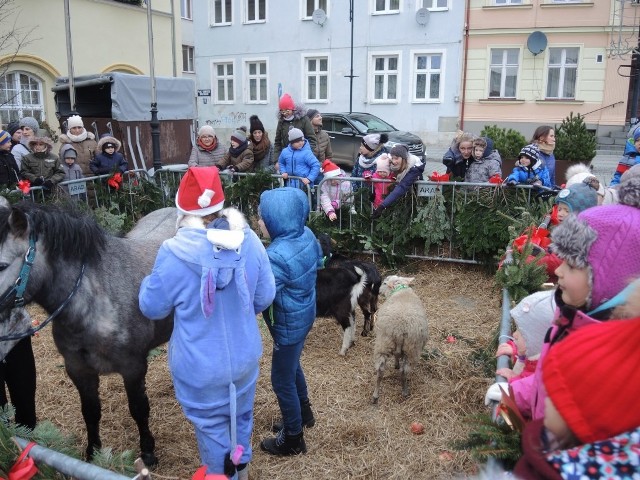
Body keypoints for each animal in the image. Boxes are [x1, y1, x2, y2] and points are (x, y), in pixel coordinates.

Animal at [370, 274, 430, 404]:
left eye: (384, 283)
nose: (378, 291)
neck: (400, 289)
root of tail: (399, 329)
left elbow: (397, 355)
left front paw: (396, 365)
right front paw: (396, 365)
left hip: (386, 343)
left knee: (382, 370)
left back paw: (377, 395)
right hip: (410, 349)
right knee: (403, 371)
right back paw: (404, 391)